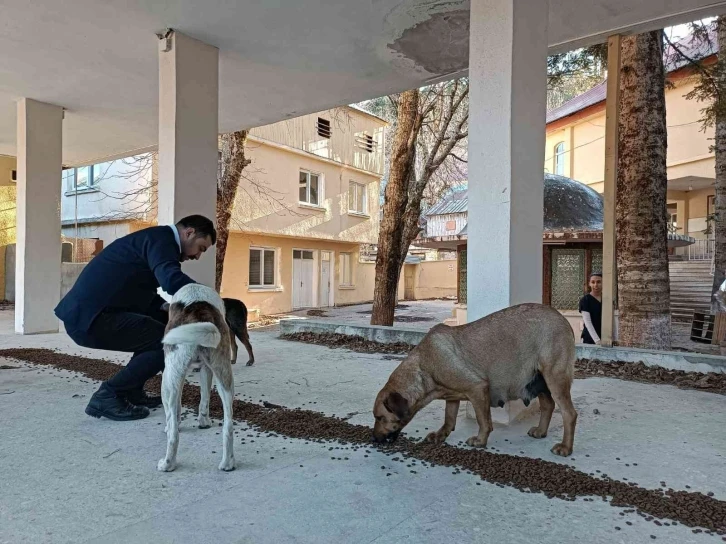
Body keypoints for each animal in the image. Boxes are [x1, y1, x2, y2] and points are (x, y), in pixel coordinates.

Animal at [159, 284, 236, 472]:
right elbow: (204, 398)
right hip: (224, 376)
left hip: (169, 379)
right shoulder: (205, 370)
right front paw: (204, 421)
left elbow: (175, 412)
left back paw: (167, 464)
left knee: (173, 434)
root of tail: (199, 314)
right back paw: (228, 463)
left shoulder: (174, 377)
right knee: (228, 426)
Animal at [372, 304, 576, 456]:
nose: (373, 438)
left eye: (380, 417)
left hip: (555, 378)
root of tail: (563, 319)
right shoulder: (452, 396)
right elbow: (449, 419)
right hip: (540, 381)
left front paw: (480, 440)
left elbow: (483, 420)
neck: (424, 367)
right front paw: (440, 435)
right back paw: (541, 431)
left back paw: (565, 448)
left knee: (569, 414)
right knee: (548, 405)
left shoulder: (478, 389)